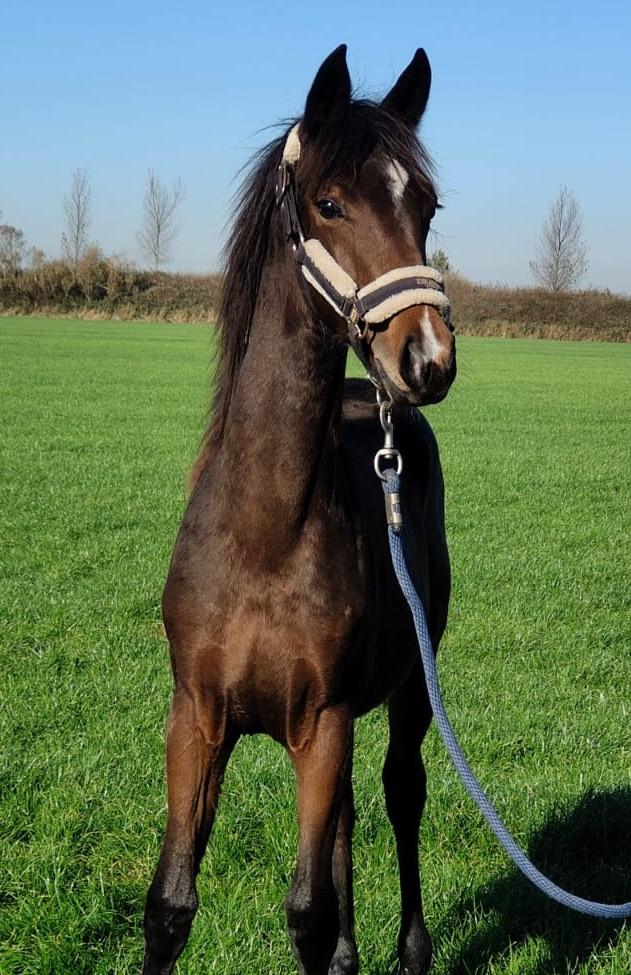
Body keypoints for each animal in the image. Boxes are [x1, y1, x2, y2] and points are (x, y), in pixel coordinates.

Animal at [142, 44, 457, 975]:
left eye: (424, 205)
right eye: (329, 203)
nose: (426, 356)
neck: (261, 537)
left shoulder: (321, 724)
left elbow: (307, 912)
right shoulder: (195, 718)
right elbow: (169, 905)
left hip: (409, 687)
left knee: (399, 793)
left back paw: (410, 948)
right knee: (351, 814)